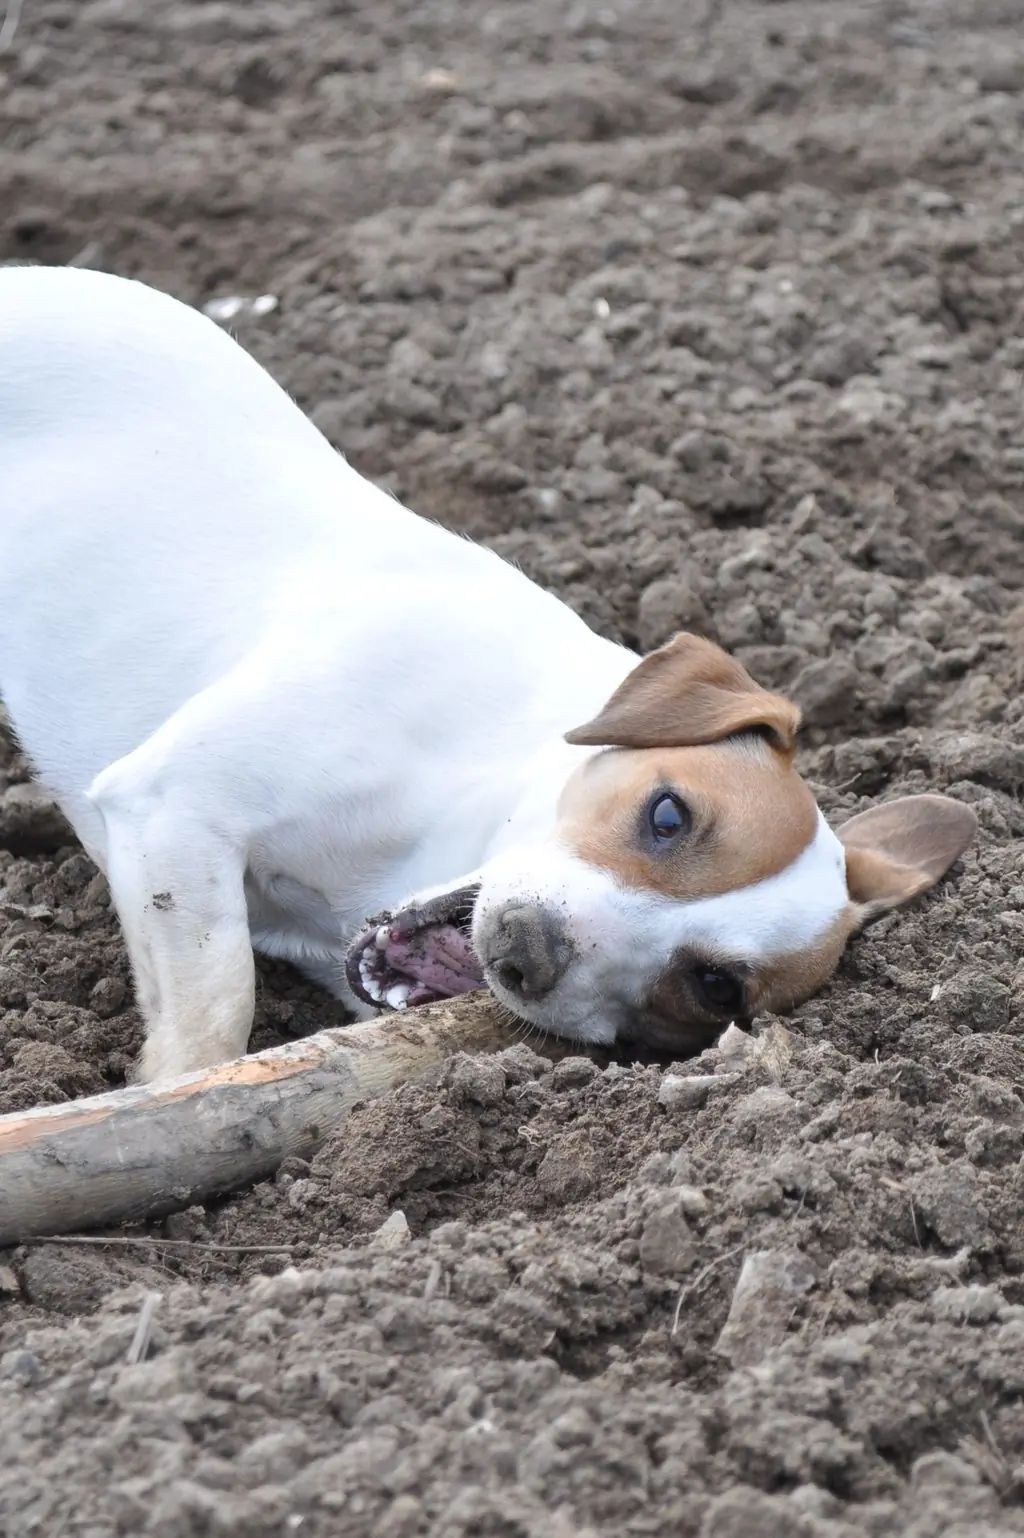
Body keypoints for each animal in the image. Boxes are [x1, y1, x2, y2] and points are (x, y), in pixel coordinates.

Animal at [0, 264, 971, 1082]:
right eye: (667, 815)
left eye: (714, 990)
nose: (523, 951)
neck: (451, 802)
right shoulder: (176, 808)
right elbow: (214, 1011)